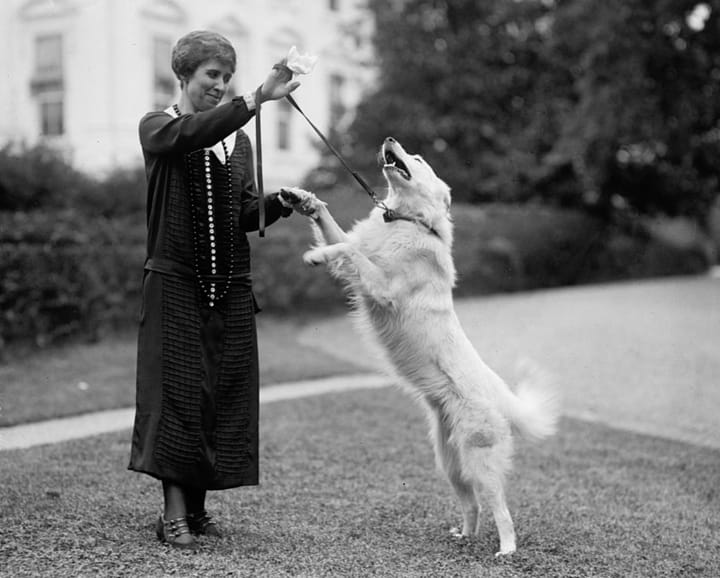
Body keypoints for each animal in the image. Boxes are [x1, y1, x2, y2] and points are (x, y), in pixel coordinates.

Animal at [278, 137, 560, 556]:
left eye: (420, 157)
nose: (389, 139)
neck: (407, 221)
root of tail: (499, 393)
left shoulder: (383, 286)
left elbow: (349, 251)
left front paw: (317, 255)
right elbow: (340, 235)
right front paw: (302, 199)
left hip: (480, 461)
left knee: (501, 508)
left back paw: (506, 550)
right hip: (449, 463)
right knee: (473, 504)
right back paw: (465, 536)